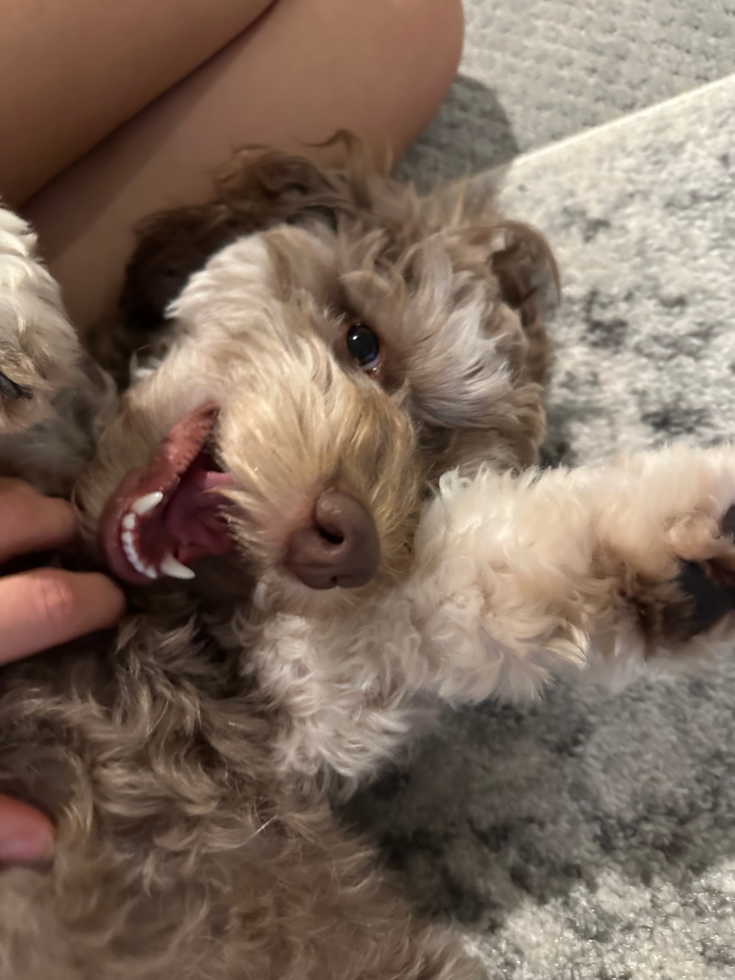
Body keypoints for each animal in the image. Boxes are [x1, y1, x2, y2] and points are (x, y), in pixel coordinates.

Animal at [1, 140, 735, 980]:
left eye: (433, 476)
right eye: (363, 345)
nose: (350, 545)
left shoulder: (300, 718)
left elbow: (454, 588)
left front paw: (669, 550)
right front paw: (15, 306)